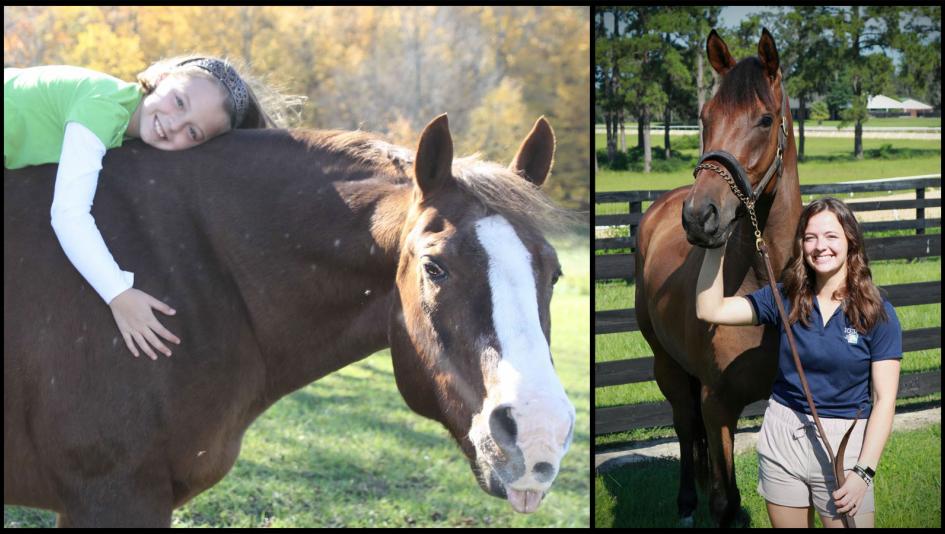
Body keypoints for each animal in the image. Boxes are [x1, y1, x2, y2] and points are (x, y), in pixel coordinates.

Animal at [634, 29, 801, 526]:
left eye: (764, 119)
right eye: (704, 117)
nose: (699, 215)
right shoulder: (717, 404)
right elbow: (726, 502)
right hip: (667, 366)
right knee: (685, 425)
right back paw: (686, 504)